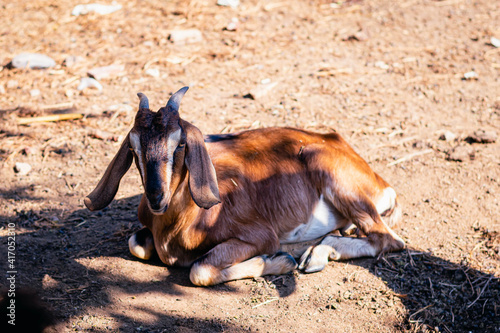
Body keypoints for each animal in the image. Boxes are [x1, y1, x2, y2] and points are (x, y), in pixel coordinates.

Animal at [85, 86, 406, 286]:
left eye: (180, 144)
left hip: (340, 183)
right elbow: (136, 244)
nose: (156, 196)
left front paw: (280, 261)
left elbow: (200, 269)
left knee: (388, 240)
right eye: (133, 148)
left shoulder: (258, 234)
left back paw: (311, 256)